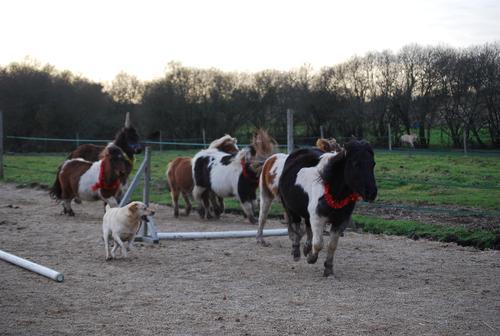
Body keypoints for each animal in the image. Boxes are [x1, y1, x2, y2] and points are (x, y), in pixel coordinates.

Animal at [278, 140, 378, 276]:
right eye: (356, 164)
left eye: (373, 164)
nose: (371, 193)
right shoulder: (318, 218)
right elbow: (319, 243)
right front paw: (311, 258)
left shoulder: (340, 221)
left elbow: (332, 245)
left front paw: (328, 267)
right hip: (290, 208)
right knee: (296, 227)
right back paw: (296, 251)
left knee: (307, 228)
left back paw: (306, 248)